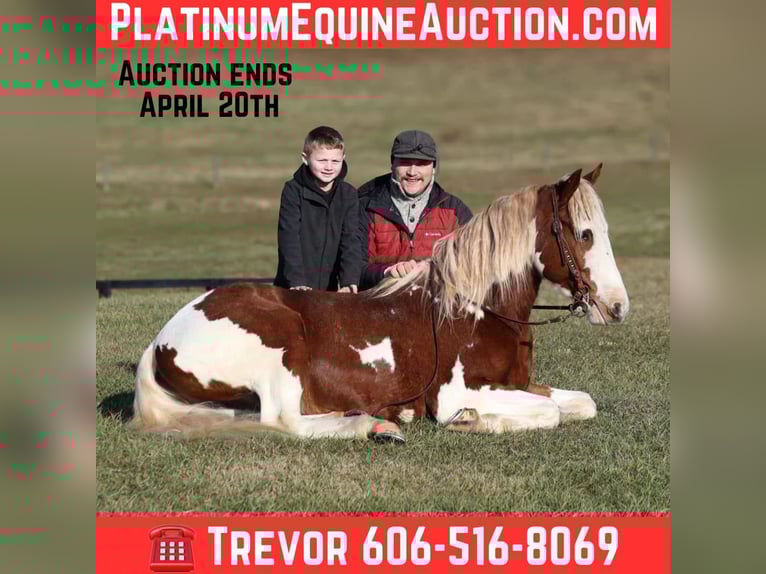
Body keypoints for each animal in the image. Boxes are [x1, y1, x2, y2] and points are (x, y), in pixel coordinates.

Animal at [130, 165, 629, 441]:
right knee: (284, 421)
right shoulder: (457, 392)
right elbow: (549, 412)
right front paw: (471, 421)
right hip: (281, 347)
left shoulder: (519, 385)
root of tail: (160, 341)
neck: (479, 311)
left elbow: (580, 403)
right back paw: (370, 423)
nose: (618, 307)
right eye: (584, 234)